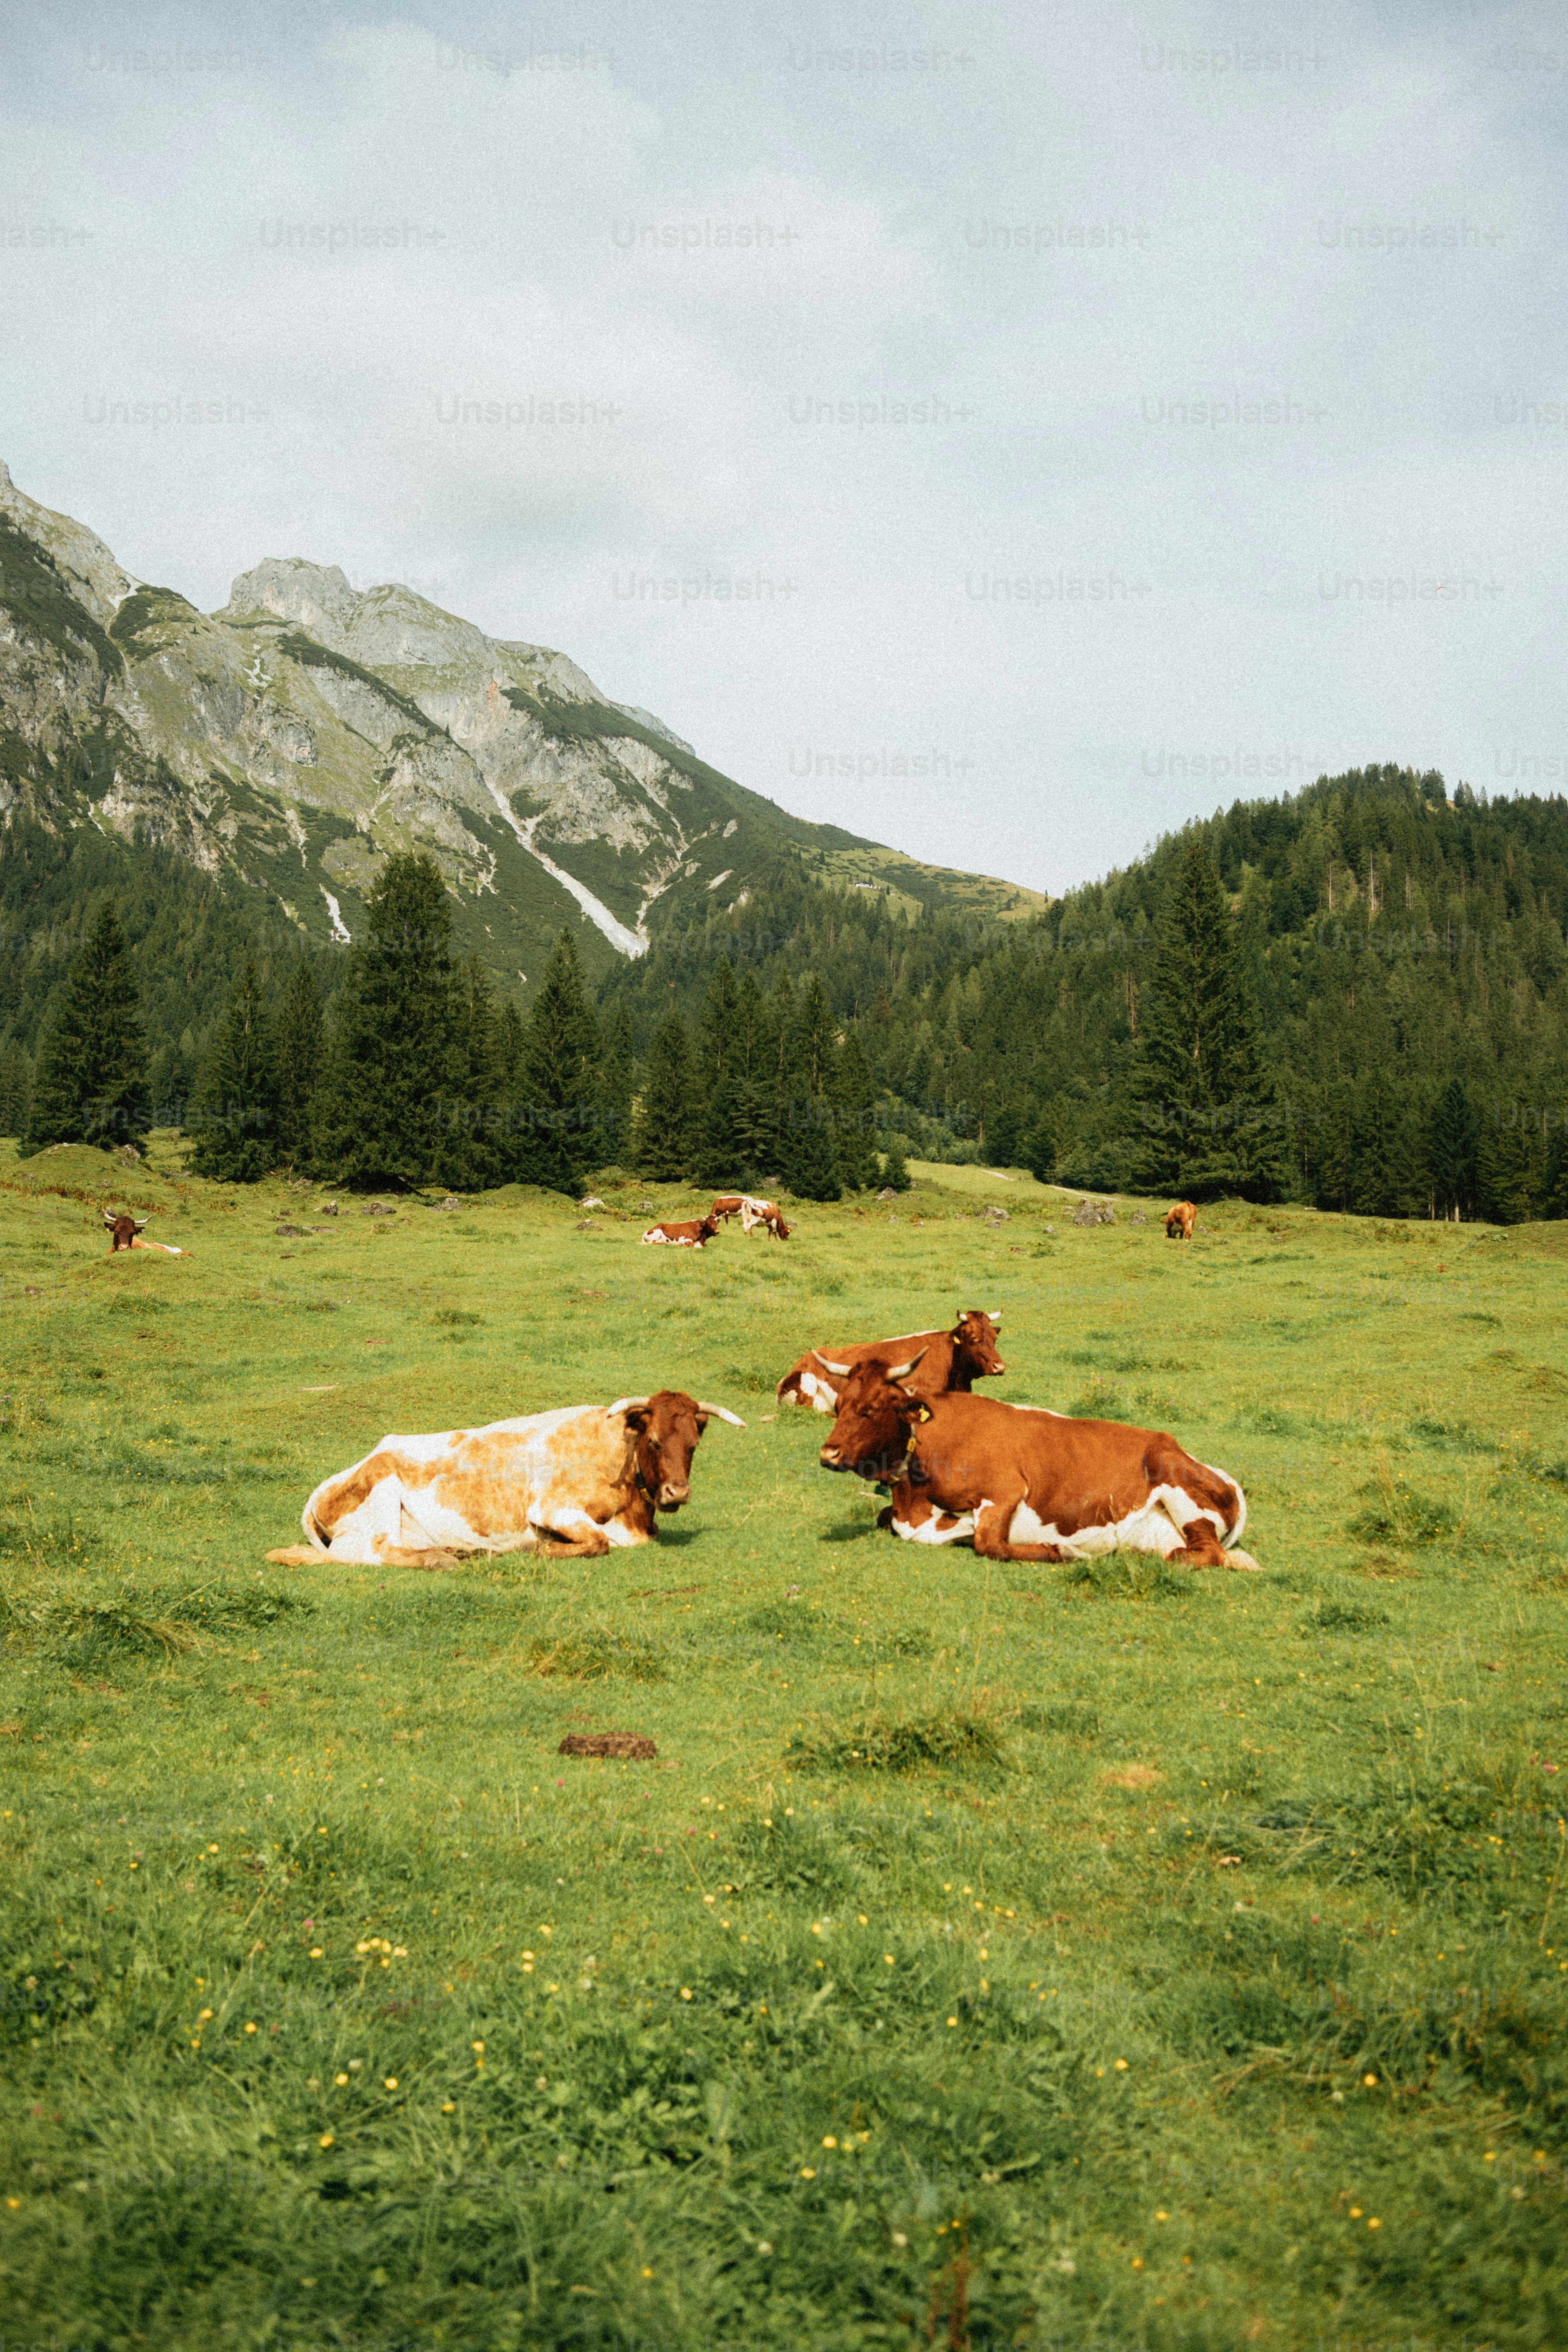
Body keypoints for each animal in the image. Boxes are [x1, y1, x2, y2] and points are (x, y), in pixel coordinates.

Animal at [266, 1390, 746, 1568]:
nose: (677, 1492)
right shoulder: (550, 1508)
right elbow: (596, 1542)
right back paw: (444, 1558)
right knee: (371, 1552)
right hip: (380, 1493)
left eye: (693, 1443)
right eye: (654, 1440)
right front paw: (535, 1549)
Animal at [642, 1214, 720, 1249]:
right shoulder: (682, 1239)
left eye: (716, 1223)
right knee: (653, 1242)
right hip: (657, 1233)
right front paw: (682, 1245)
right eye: (708, 1224)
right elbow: (691, 1244)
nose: (717, 1231)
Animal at [815, 1350, 1259, 1570]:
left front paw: (1061, 1551)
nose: (827, 1453)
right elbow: (888, 1519)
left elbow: (989, 1544)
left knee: (1206, 1555)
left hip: (1174, 1480)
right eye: (838, 1405)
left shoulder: (1006, 1489)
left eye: (871, 1409)